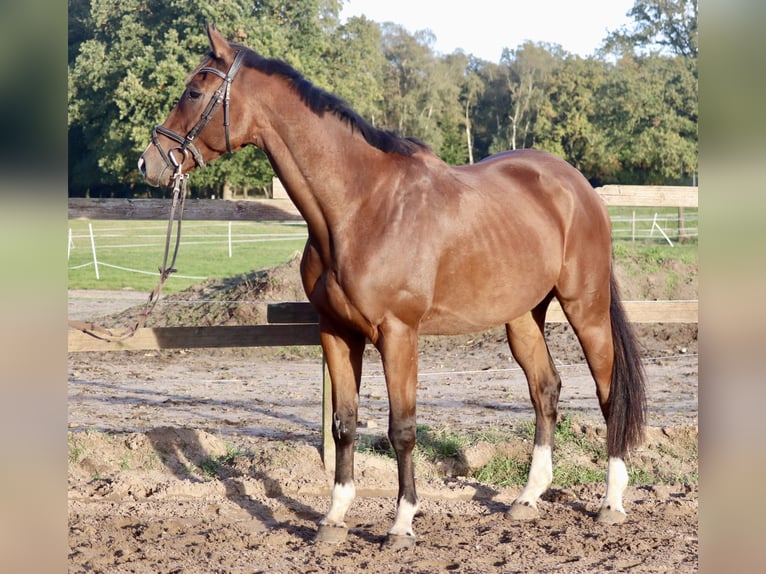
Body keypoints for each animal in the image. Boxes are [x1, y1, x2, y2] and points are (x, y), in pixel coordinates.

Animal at [140, 23, 648, 548]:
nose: (149, 162)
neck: (360, 207)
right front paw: (334, 518)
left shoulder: (399, 334)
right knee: (545, 391)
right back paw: (527, 499)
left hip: (586, 308)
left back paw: (611, 503)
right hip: (524, 316)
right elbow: (344, 424)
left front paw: (402, 522)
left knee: (609, 394)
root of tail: (578, 186)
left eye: (194, 91)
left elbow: (401, 427)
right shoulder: (336, 332)